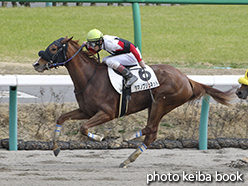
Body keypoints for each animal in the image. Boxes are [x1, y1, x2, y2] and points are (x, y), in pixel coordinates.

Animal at [33, 36, 234, 169]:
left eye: (53, 49)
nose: (37, 64)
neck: (90, 77)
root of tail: (187, 79)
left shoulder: (107, 113)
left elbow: (83, 128)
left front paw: (100, 138)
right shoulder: (86, 111)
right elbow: (61, 118)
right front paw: (56, 148)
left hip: (161, 102)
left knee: (150, 129)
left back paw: (124, 138)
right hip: (157, 105)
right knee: (151, 134)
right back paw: (127, 158)